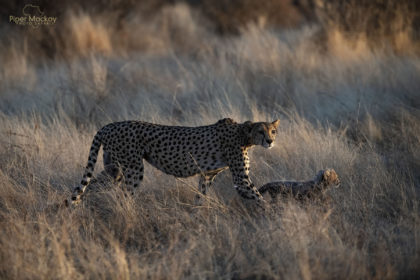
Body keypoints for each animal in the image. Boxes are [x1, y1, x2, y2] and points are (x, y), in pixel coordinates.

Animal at [70, 117, 280, 207]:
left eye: (273, 131)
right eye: (261, 131)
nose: (270, 141)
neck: (244, 135)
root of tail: (109, 125)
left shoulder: (207, 175)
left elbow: (200, 197)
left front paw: (195, 217)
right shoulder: (241, 179)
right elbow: (259, 197)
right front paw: (273, 213)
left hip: (114, 169)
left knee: (90, 185)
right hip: (133, 168)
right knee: (124, 195)